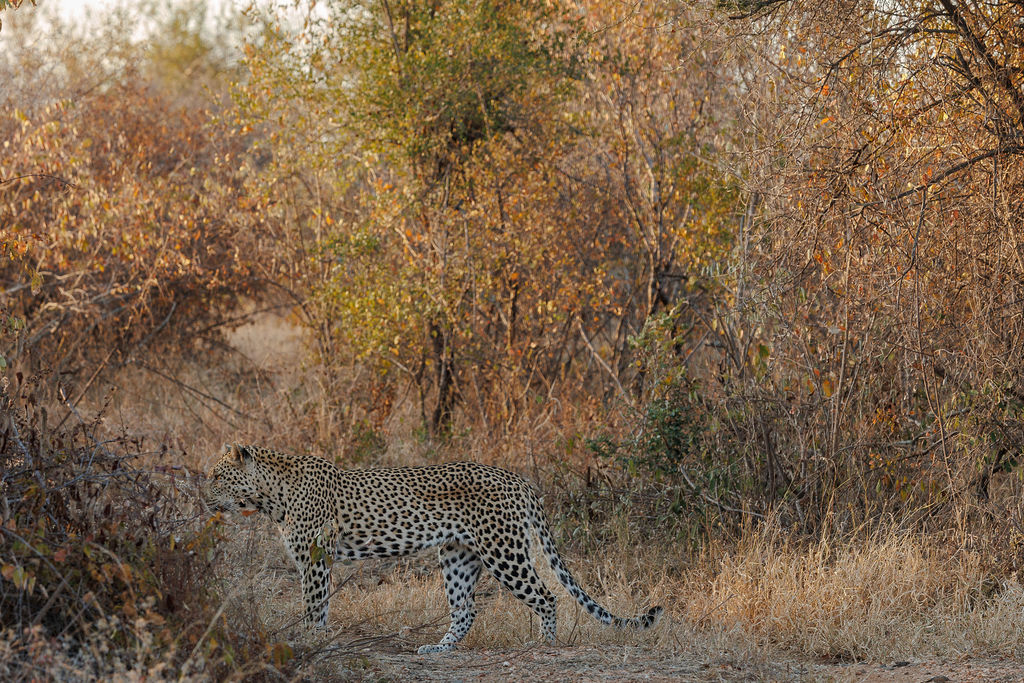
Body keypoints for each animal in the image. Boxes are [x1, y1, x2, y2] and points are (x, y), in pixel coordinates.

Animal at [205, 443, 662, 654]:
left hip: (504, 550)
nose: (203, 496)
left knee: (546, 596)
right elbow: (322, 607)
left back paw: (543, 646)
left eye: (216, 475)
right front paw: (317, 640)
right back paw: (439, 650)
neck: (269, 496)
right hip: (458, 555)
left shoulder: (314, 560)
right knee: (466, 610)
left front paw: (308, 641)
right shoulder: (320, 562)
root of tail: (519, 479)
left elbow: (313, 606)